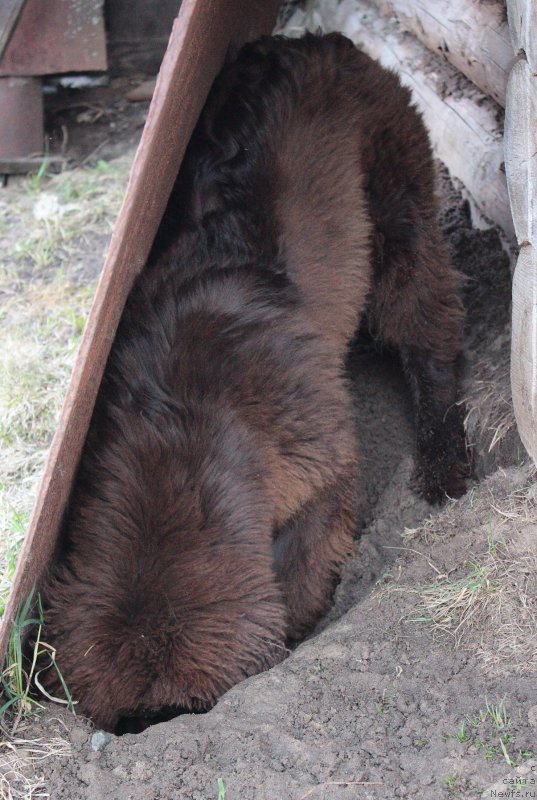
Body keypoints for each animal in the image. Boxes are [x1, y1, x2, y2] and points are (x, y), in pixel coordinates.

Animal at [39, 32, 466, 732]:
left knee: (428, 329)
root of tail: (322, 39)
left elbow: (303, 559)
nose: (139, 732)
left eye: (165, 714)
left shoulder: (321, 462)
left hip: (394, 194)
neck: (180, 440)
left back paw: (442, 465)